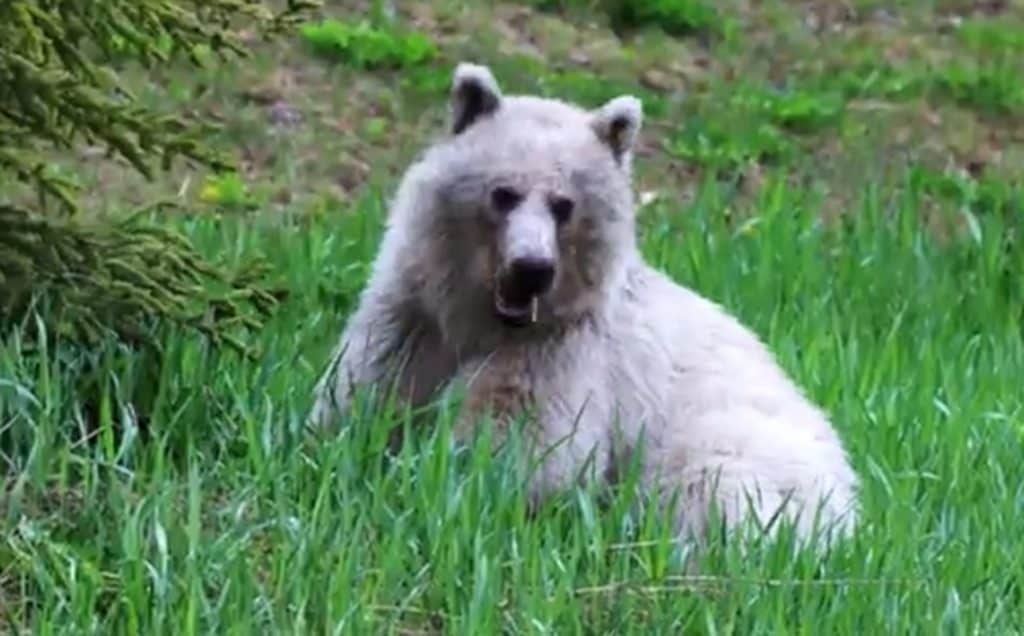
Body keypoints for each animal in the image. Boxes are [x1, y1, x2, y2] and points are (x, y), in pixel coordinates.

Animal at [309, 61, 860, 549]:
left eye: (564, 204)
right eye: (503, 193)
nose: (531, 268)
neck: (479, 320)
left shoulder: (564, 350)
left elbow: (523, 443)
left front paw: (448, 476)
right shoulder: (415, 317)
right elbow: (369, 389)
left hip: (737, 450)